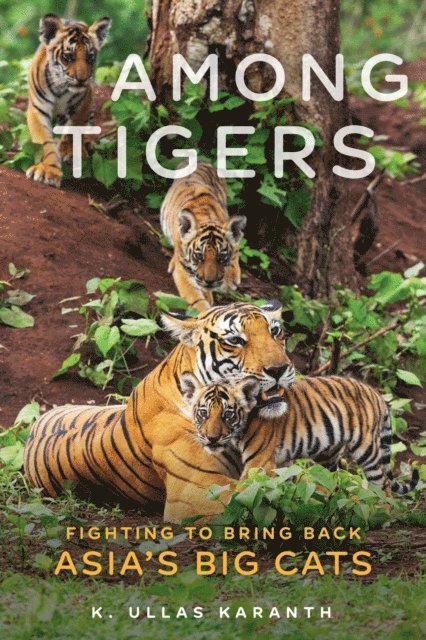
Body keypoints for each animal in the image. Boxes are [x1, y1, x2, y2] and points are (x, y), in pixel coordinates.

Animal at [26, 14, 111, 187]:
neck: (61, 87)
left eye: (90, 57)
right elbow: (45, 141)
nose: (82, 79)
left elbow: (74, 129)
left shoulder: (83, 103)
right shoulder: (38, 109)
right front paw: (48, 170)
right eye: (68, 57)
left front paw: (69, 151)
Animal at [160, 161, 247, 311]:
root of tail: (201, 160)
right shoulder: (183, 270)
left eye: (222, 257)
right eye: (199, 256)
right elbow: (196, 299)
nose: (236, 283)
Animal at [182, 375, 419, 496]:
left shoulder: (258, 464)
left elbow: (242, 490)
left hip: (366, 449)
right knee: (329, 480)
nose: (212, 438)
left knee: (383, 483)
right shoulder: (280, 462)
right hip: (328, 455)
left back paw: (381, 511)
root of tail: (375, 393)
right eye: (203, 413)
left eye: (228, 414)